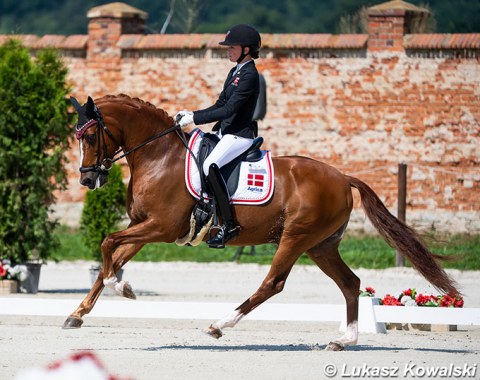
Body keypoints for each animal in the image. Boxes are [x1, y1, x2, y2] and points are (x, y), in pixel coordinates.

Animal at [64, 95, 458, 350]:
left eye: (90, 136)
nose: (88, 179)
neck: (158, 156)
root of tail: (342, 176)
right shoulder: (144, 226)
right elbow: (112, 255)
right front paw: (80, 313)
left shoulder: (162, 227)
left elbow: (108, 244)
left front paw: (122, 289)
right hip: (321, 245)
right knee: (350, 283)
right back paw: (344, 339)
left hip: (296, 238)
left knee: (273, 283)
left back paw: (220, 325)